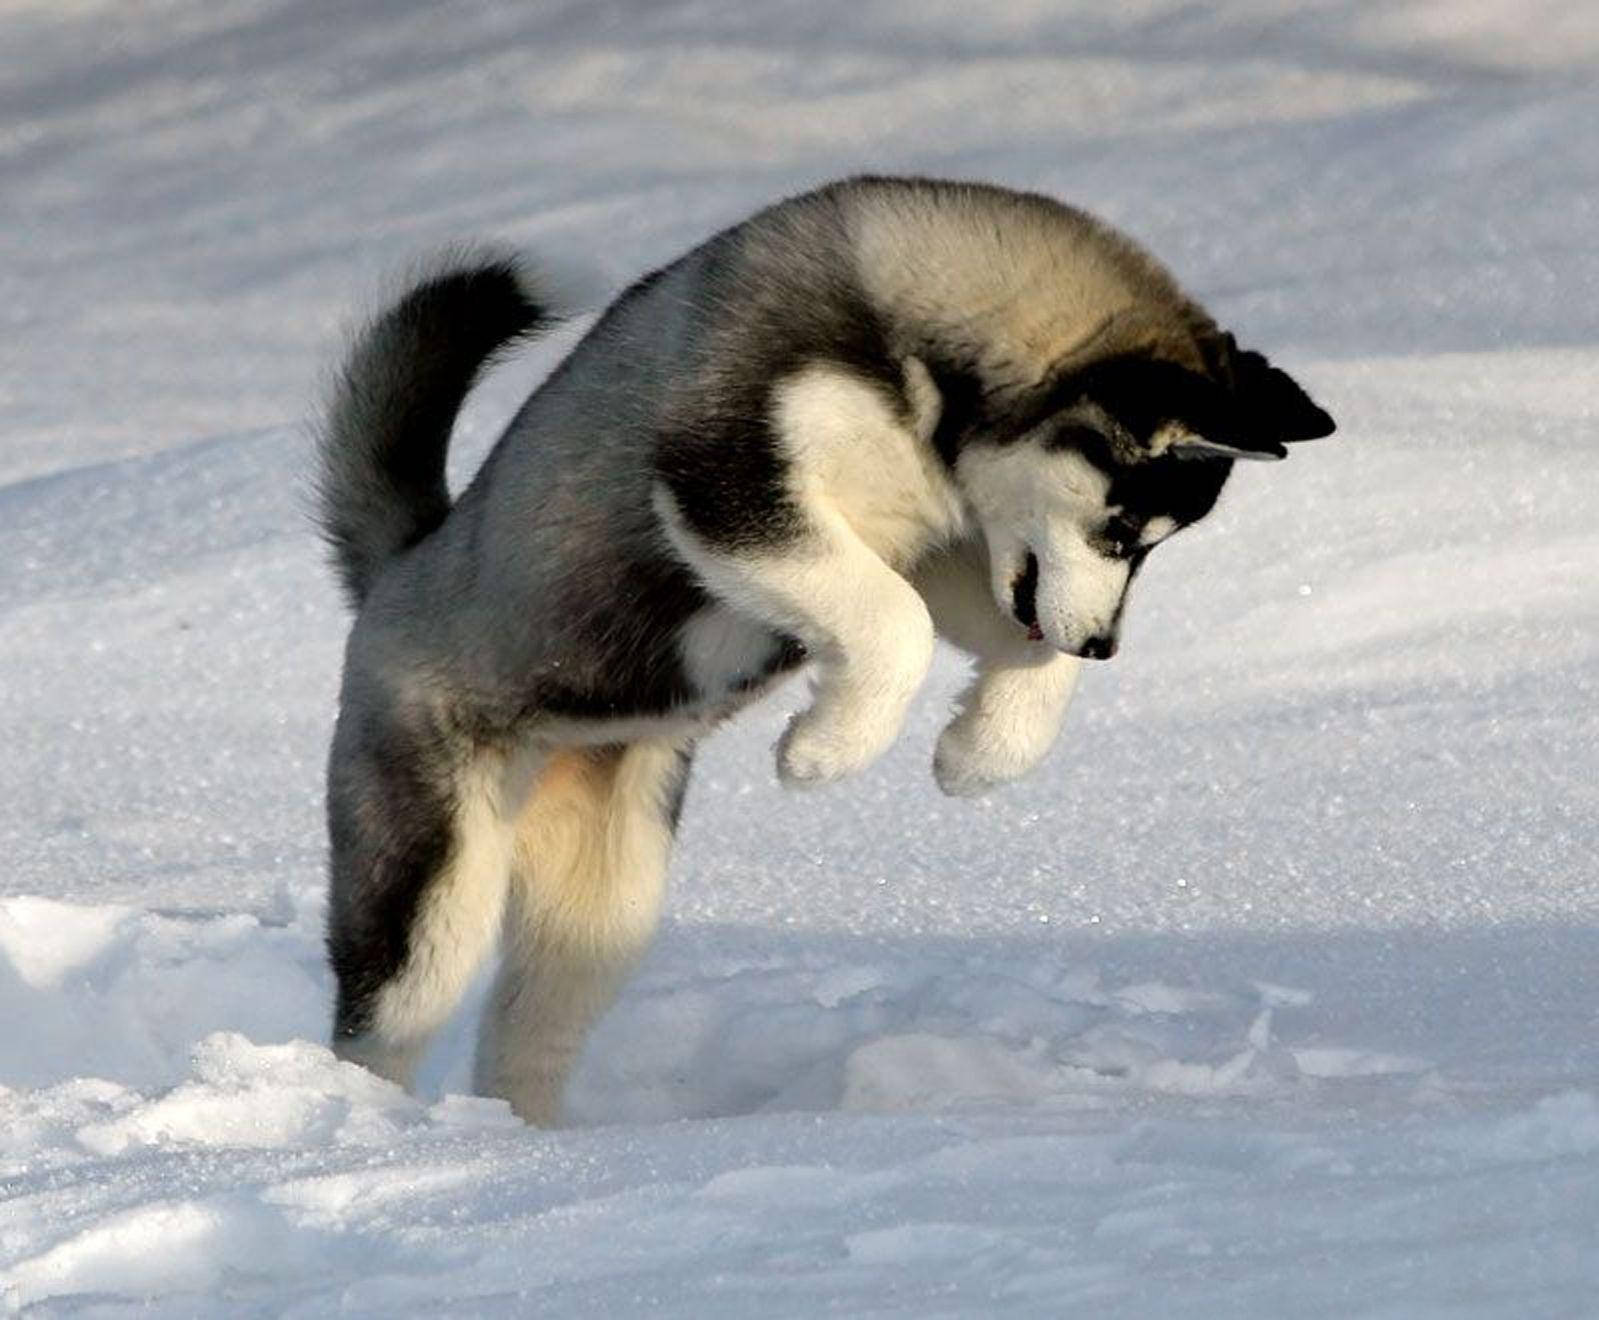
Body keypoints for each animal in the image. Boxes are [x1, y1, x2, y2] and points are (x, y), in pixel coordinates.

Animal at [318, 174, 1330, 1118]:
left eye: (1157, 543)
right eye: (1122, 531)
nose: (1102, 647)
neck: (913, 353)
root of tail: (401, 567)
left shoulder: (937, 548)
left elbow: (989, 633)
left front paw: (978, 752)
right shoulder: (729, 485)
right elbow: (894, 623)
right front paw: (823, 751)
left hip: (605, 904)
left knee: (528, 1035)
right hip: (432, 882)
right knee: (385, 1023)